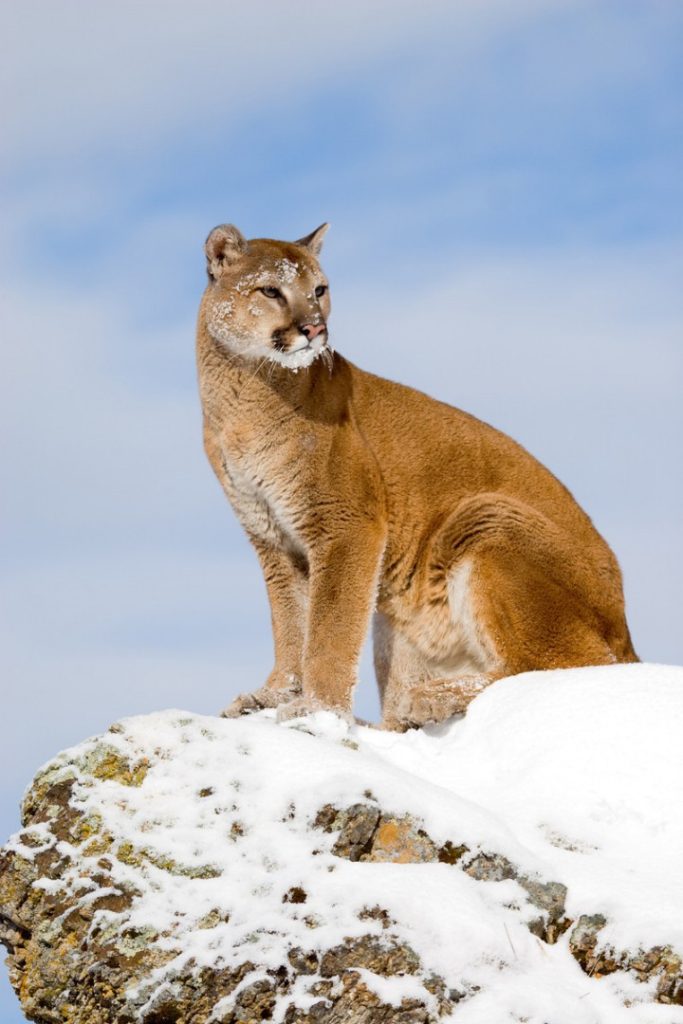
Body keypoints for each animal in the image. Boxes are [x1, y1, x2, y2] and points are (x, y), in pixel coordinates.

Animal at [194, 226, 638, 729]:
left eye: (319, 291)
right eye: (271, 291)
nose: (314, 329)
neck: (242, 394)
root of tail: (626, 627)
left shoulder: (347, 525)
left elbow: (329, 628)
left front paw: (317, 708)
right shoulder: (273, 538)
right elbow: (291, 623)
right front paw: (273, 695)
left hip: (486, 517)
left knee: (560, 666)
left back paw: (429, 699)